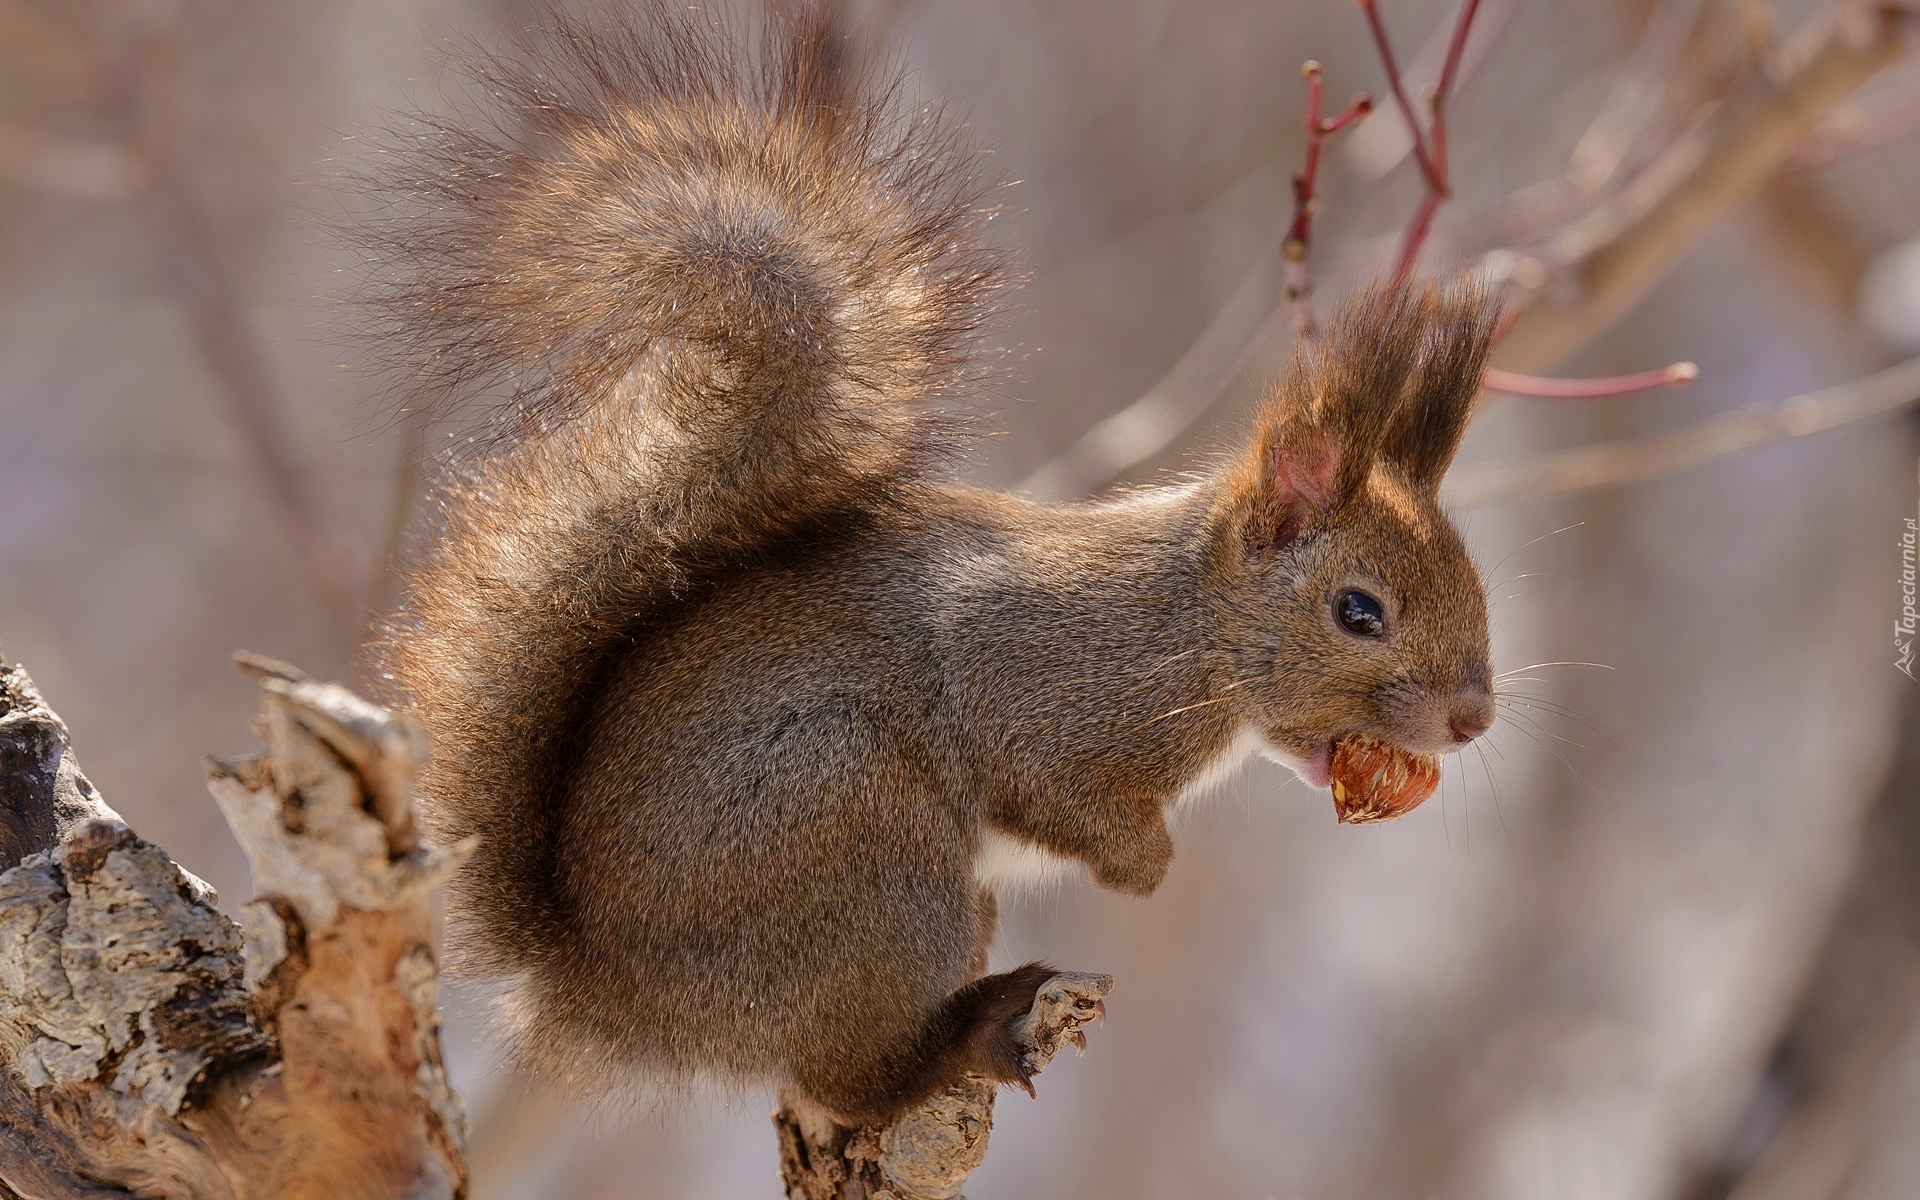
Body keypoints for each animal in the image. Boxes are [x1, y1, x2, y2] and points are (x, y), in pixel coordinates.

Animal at [360, 0, 1497, 1121]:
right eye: (1358, 611)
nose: (1473, 721)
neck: (1192, 625)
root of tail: (606, 989)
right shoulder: (1041, 686)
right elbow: (1054, 785)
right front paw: (1148, 866)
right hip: (868, 856)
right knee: (850, 1080)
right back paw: (970, 1036)